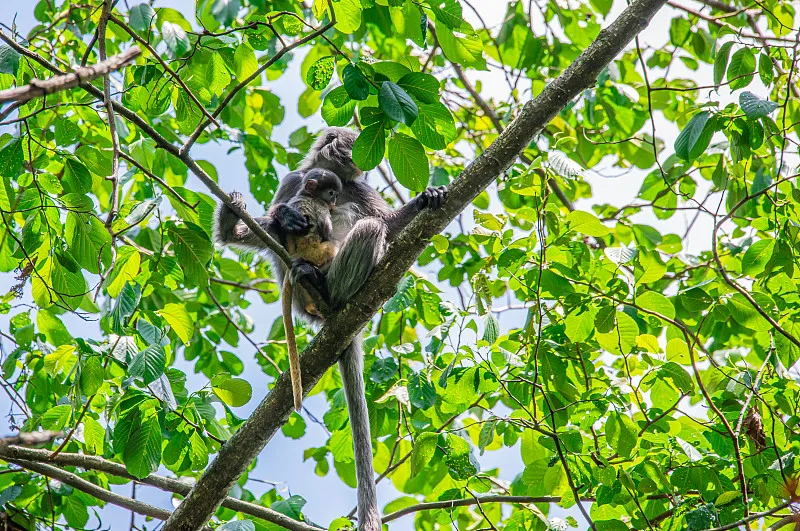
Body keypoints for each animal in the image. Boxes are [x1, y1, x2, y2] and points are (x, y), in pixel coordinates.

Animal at [212, 127, 446, 528]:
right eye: (354, 150)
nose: (362, 165)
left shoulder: (357, 190)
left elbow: (388, 223)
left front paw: (423, 200)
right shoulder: (293, 180)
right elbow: (263, 230)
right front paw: (272, 216)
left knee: (370, 226)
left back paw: (330, 288)